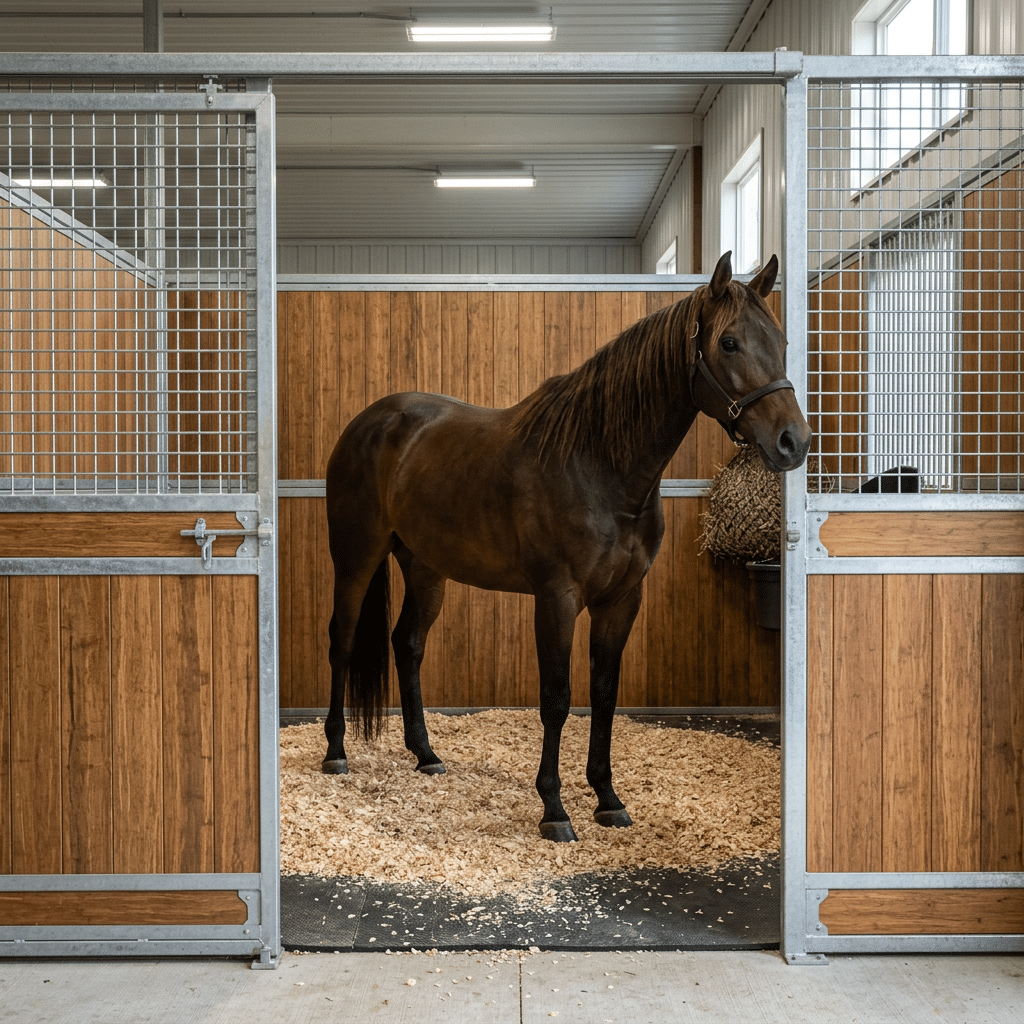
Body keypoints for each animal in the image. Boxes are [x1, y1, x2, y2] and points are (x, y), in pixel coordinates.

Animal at [321, 251, 811, 843]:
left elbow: (603, 695)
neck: (598, 464)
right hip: (356, 558)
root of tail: (367, 423)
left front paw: (607, 798)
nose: (793, 442)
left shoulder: (621, 600)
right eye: (730, 343)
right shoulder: (556, 598)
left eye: (781, 340)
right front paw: (554, 809)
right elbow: (556, 699)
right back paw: (336, 752)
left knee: (408, 644)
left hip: (425, 567)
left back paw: (426, 755)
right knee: (342, 640)